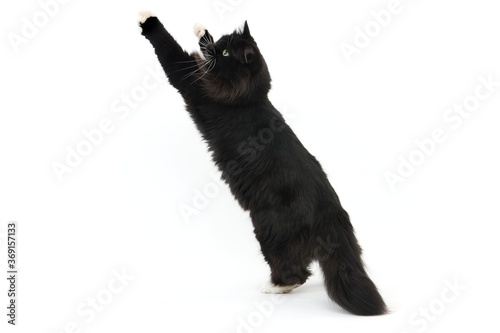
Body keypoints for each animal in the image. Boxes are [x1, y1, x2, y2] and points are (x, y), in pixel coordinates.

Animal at [139, 11, 388, 316]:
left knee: (295, 272)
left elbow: (170, 49)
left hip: (269, 229)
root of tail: (331, 210)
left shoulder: (191, 81)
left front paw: (147, 19)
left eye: (225, 53)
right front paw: (201, 32)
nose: (216, 47)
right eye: (222, 42)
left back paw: (274, 286)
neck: (252, 94)